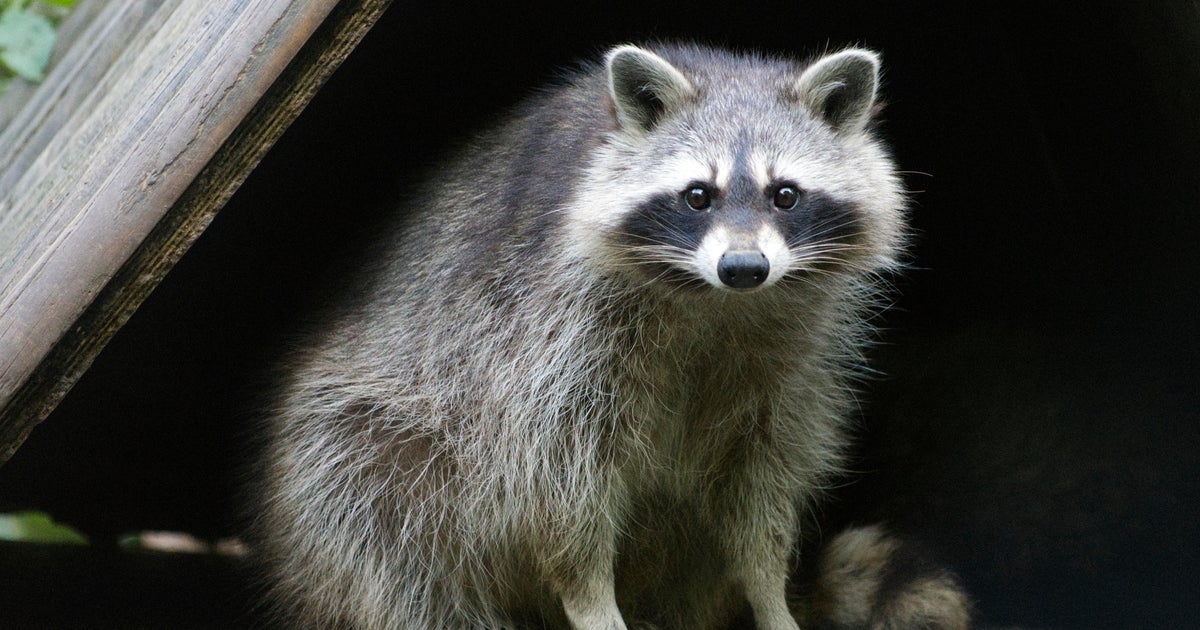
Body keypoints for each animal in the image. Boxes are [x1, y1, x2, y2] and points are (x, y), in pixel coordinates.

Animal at [257, 43, 964, 629]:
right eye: (698, 196)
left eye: (785, 195)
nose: (743, 267)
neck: (717, 302)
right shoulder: (544, 329)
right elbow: (556, 480)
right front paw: (590, 598)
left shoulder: (798, 356)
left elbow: (763, 479)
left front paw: (767, 592)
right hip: (370, 434)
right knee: (371, 513)